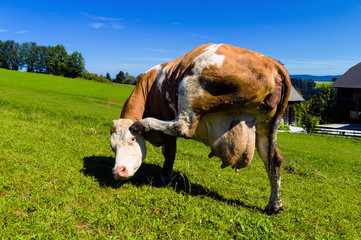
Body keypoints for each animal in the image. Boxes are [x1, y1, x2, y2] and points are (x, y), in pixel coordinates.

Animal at [109, 43, 290, 214]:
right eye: (112, 147)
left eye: (133, 139)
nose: (118, 172)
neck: (150, 87)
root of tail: (271, 62)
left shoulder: (166, 122)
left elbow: (170, 152)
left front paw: (165, 177)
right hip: (264, 128)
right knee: (275, 160)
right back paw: (274, 205)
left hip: (192, 84)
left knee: (182, 126)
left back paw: (143, 123)